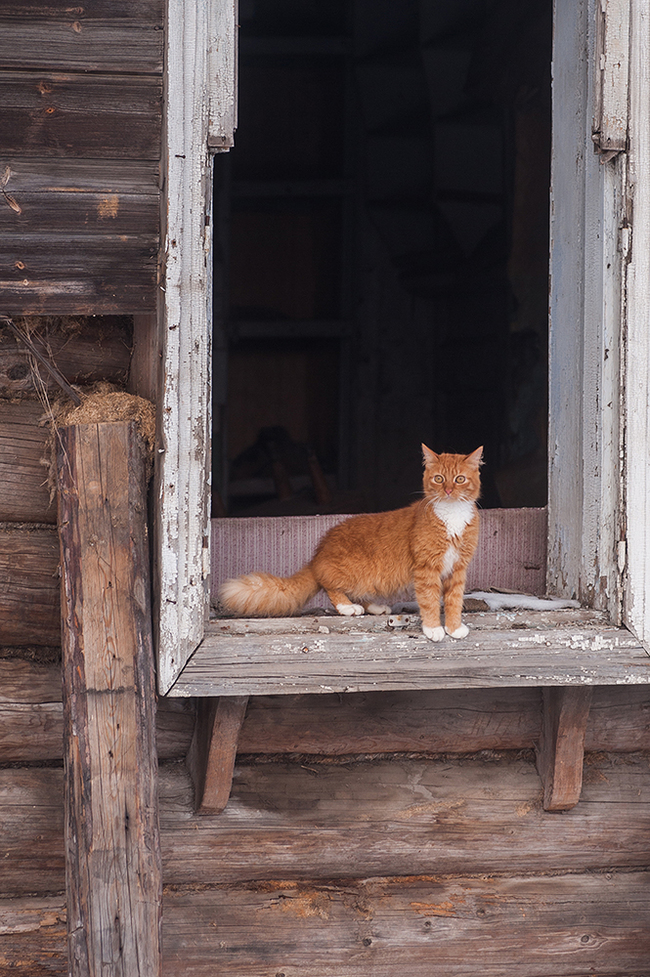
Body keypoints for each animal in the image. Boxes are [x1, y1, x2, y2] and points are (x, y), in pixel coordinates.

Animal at [220, 444, 478, 640]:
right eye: (439, 478)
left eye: (460, 479)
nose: (448, 490)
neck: (452, 516)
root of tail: (318, 555)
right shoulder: (426, 569)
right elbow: (430, 601)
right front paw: (434, 629)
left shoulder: (458, 569)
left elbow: (454, 601)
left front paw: (454, 628)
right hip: (353, 571)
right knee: (330, 586)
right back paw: (347, 607)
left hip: (369, 579)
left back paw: (375, 607)